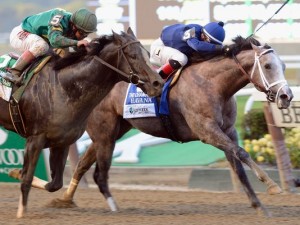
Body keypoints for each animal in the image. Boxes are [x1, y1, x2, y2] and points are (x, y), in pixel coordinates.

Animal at [0, 28, 164, 218]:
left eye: (147, 54)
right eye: (132, 55)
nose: (158, 83)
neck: (63, 87)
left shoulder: (61, 141)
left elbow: (54, 184)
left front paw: (15, 172)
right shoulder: (35, 139)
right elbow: (26, 178)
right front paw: (21, 213)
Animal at [51, 36, 292, 215]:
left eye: (283, 65)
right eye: (268, 66)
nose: (286, 96)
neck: (213, 84)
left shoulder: (228, 131)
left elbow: (238, 167)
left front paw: (259, 206)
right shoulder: (207, 131)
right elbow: (242, 153)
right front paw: (272, 186)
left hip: (113, 131)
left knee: (82, 163)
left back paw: (65, 199)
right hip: (104, 132)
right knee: (90, 166)